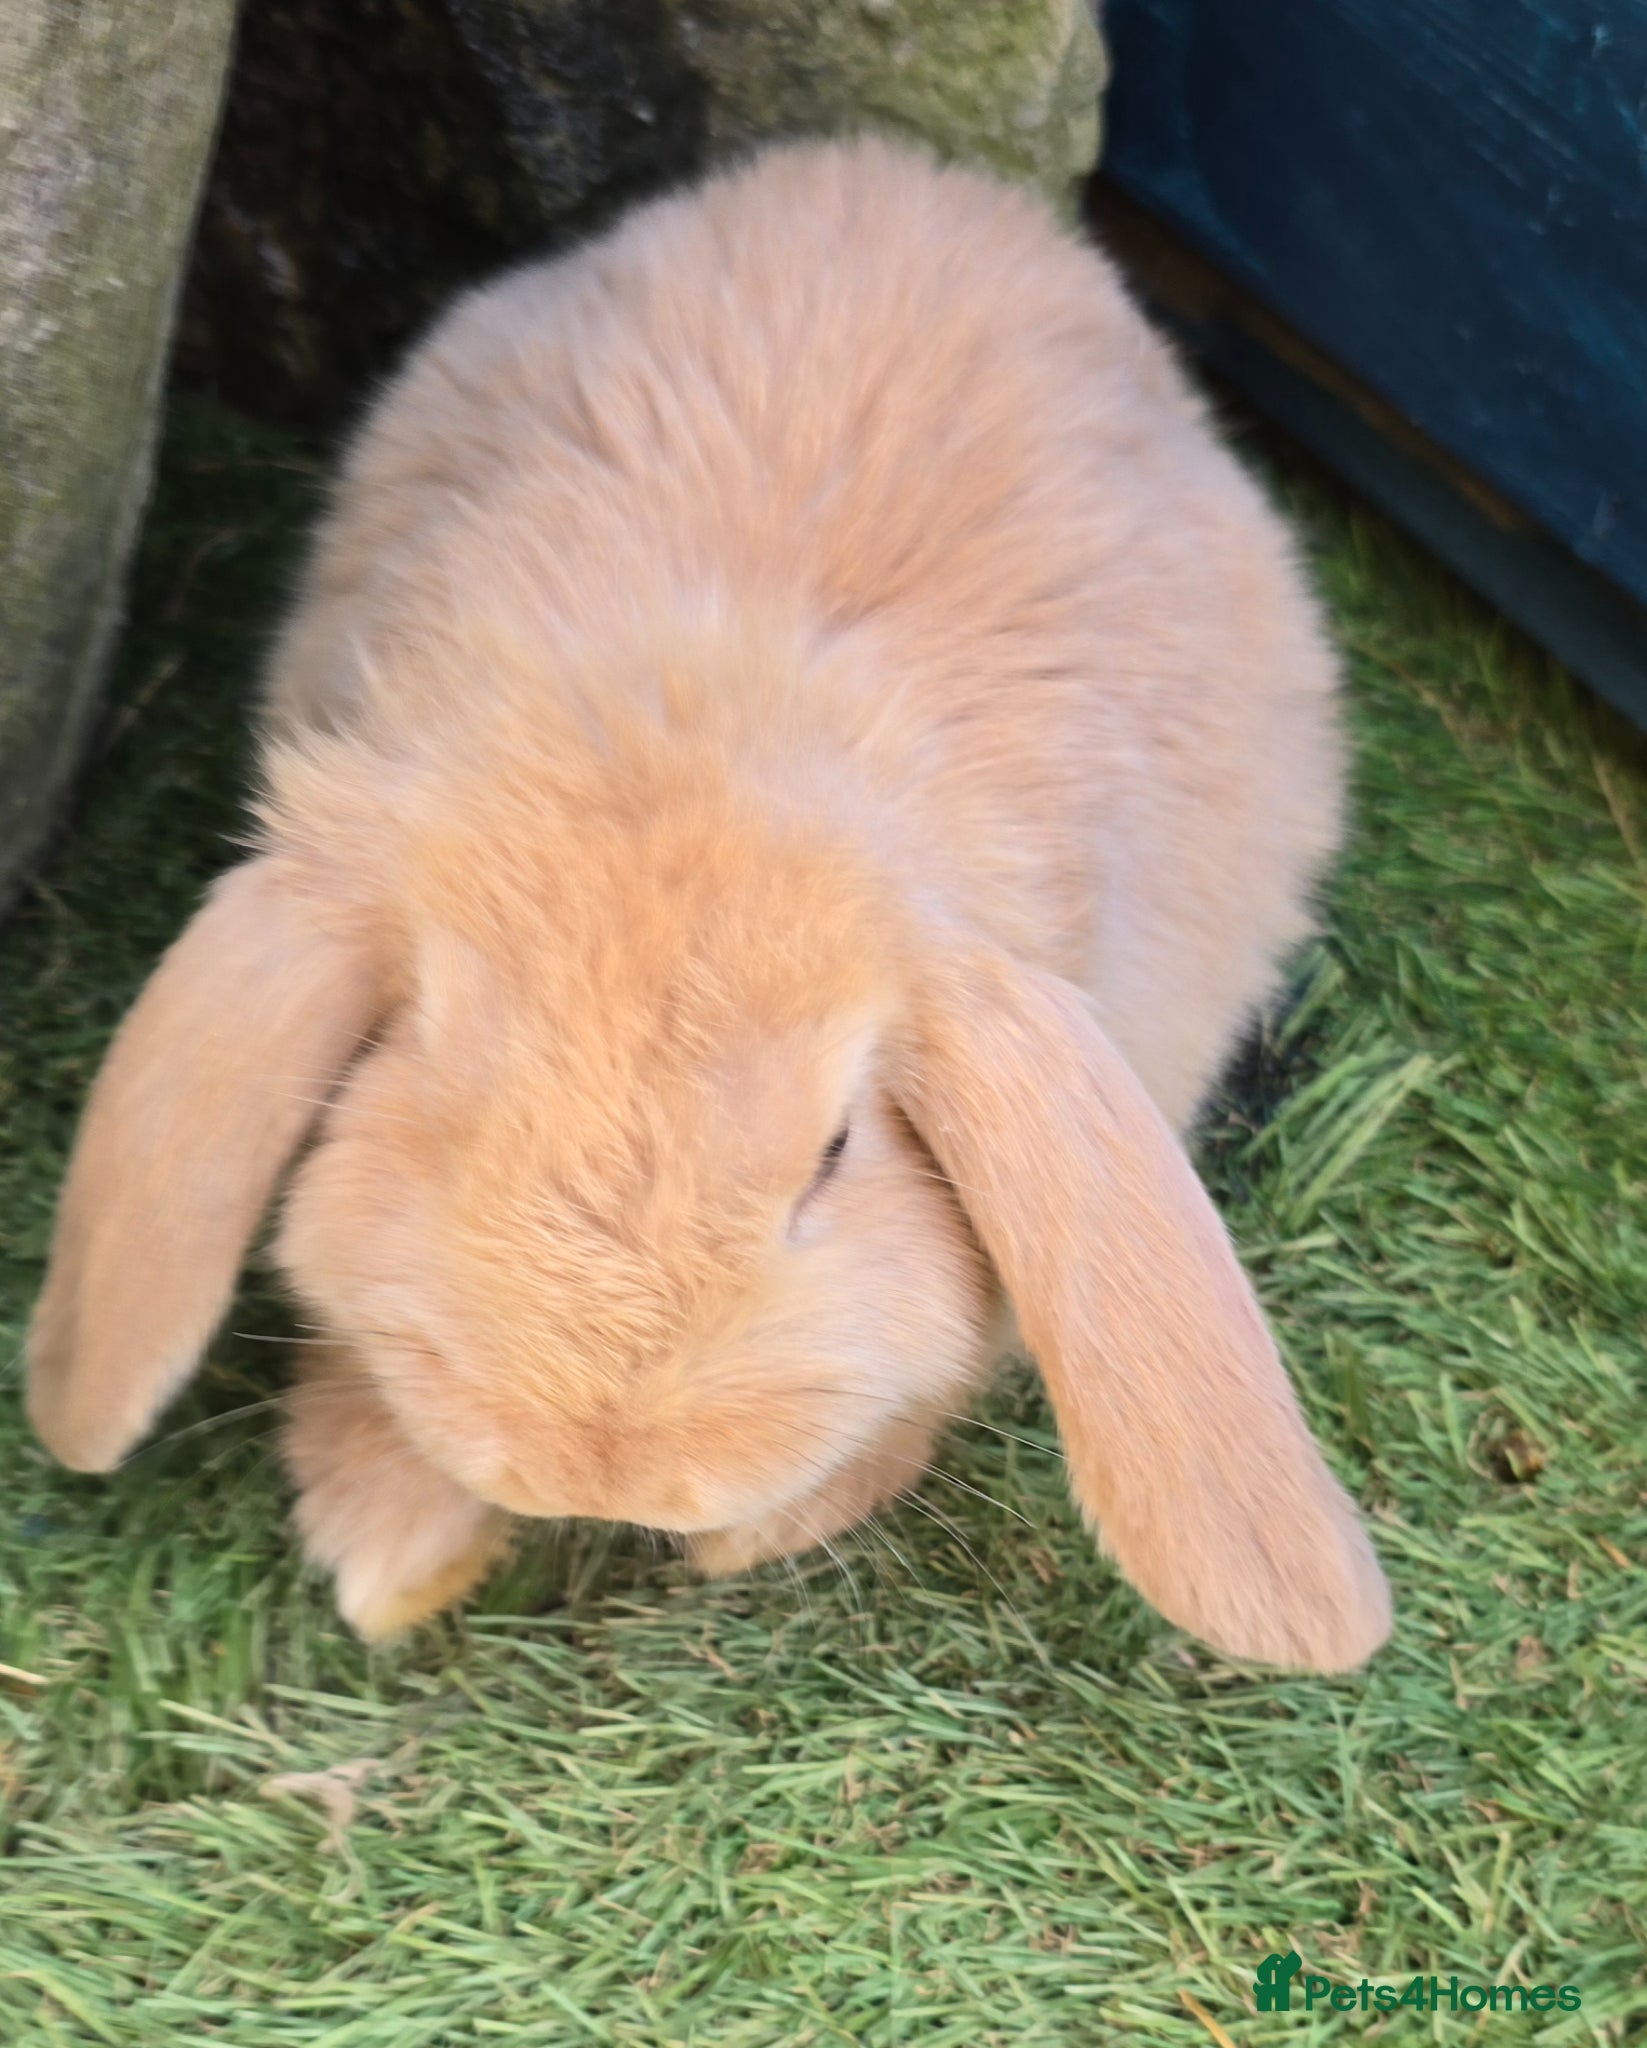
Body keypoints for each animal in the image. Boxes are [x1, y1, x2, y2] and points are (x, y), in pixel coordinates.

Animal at [25, 134, 1390, 1669]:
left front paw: (751, 1535)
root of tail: (895, 177)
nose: (599, 1468)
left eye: (834, 1153)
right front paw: (394, 1553)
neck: (707, 727)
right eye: (427, 1087)